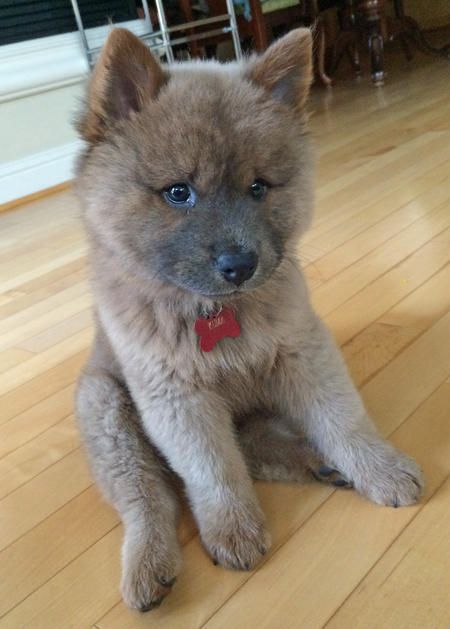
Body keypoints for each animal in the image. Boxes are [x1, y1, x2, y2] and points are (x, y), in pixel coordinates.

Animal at [75, 27, 424, 612]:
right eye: (179, 192)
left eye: (259, 187)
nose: (240, 264)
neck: (214, 314)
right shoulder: (176, 398)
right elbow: (212, 469)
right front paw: (233, 529)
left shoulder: (303, 352)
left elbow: (344, 421)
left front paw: (380, 469)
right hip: (107, 412)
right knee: (149, 499)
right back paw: (149, 567)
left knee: (259, 449)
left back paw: (319, 460)